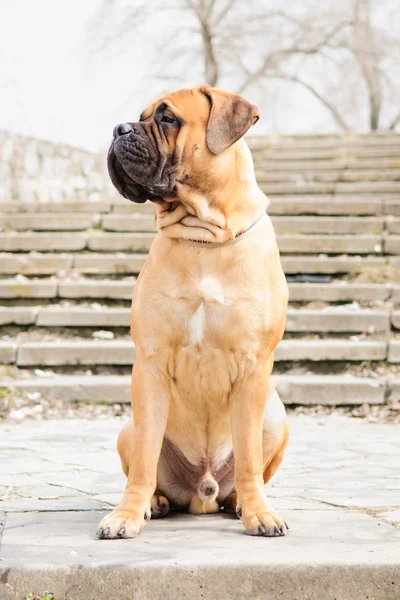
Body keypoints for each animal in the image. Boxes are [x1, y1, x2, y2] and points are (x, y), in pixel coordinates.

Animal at [97, 84, 290, 540]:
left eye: (167, 118)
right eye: (140, 117)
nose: (118, 129)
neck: (204, 236)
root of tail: (203, 492)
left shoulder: (253, 366)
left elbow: (250, 458)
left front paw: (259, 512)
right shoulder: (149, 365)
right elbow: (143, 461)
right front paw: (126, 514)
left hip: (277, 417)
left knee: (249, 469)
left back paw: (239, 502)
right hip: (128, 425)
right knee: (145, 459)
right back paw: (155, 502)